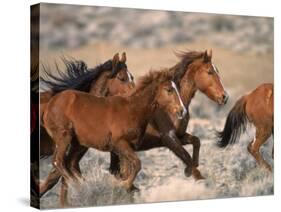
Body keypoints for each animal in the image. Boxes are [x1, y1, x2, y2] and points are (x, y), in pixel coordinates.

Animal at [42, 71, 186, 205]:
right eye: (169, 89)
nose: (182, 111)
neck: (132, 110)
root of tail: (49, 105)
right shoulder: (119, 144)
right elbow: (137, 164)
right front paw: (122, 185)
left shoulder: (128, 148)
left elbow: (128, 169)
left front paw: (128, 189)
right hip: (64, 137)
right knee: (58, 162)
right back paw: (81, 186)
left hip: (78, 144)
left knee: (69, 164)